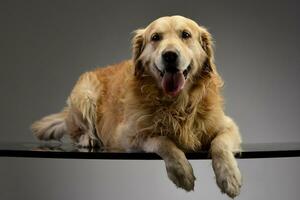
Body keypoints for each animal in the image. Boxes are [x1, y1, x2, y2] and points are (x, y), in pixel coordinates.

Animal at [31, 15, 241, 197]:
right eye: (155, 37)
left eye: (186, 35)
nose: (170, 55)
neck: (177, 103)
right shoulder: (129, 135)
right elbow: (163, 141)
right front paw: (182, 172)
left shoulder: (228, 126)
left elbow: (220, 145)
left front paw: (229, 177)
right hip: (85, 93)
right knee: (77, 131)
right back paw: (88, 138)